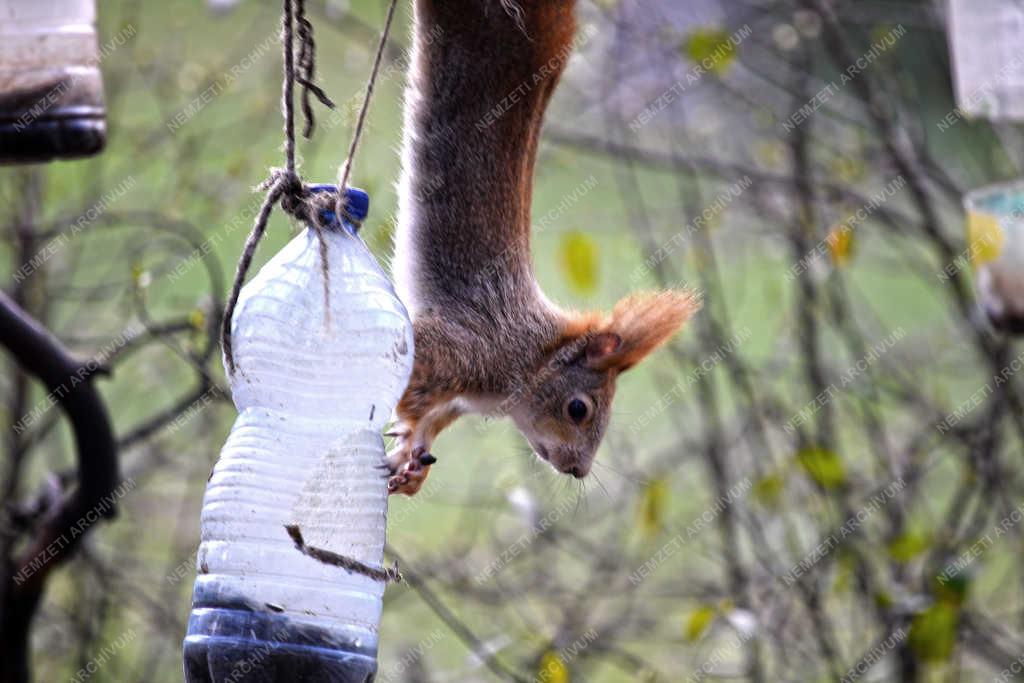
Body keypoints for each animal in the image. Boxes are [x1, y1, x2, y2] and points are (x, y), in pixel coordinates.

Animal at [387, 2, 700, 499]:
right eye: (578, 409)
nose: (578, 470)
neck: (531, 353)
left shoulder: (461, 398)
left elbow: (434, 419)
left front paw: (412, 461)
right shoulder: (468, 347)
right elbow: (411, 377)